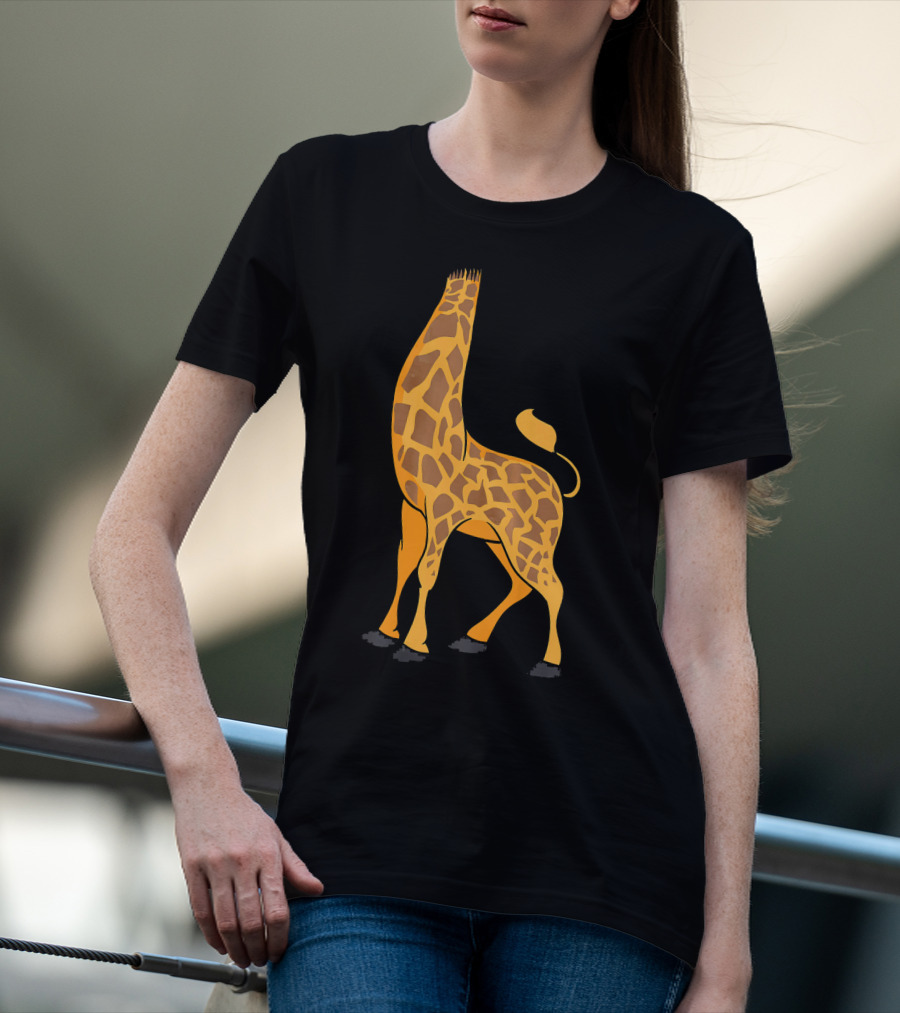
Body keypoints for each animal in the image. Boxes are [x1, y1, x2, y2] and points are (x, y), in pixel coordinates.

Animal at [362, 269, 580, 678]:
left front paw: (414, 645)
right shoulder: (412, 506)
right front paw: (384, 632)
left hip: (531, 544)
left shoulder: (443, 511)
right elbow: (404, 561)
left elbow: (427, 571)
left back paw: (548, 662)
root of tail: (559, 489)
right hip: (498, 539)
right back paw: (472, 637)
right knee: (523, 585)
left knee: (554, 587)